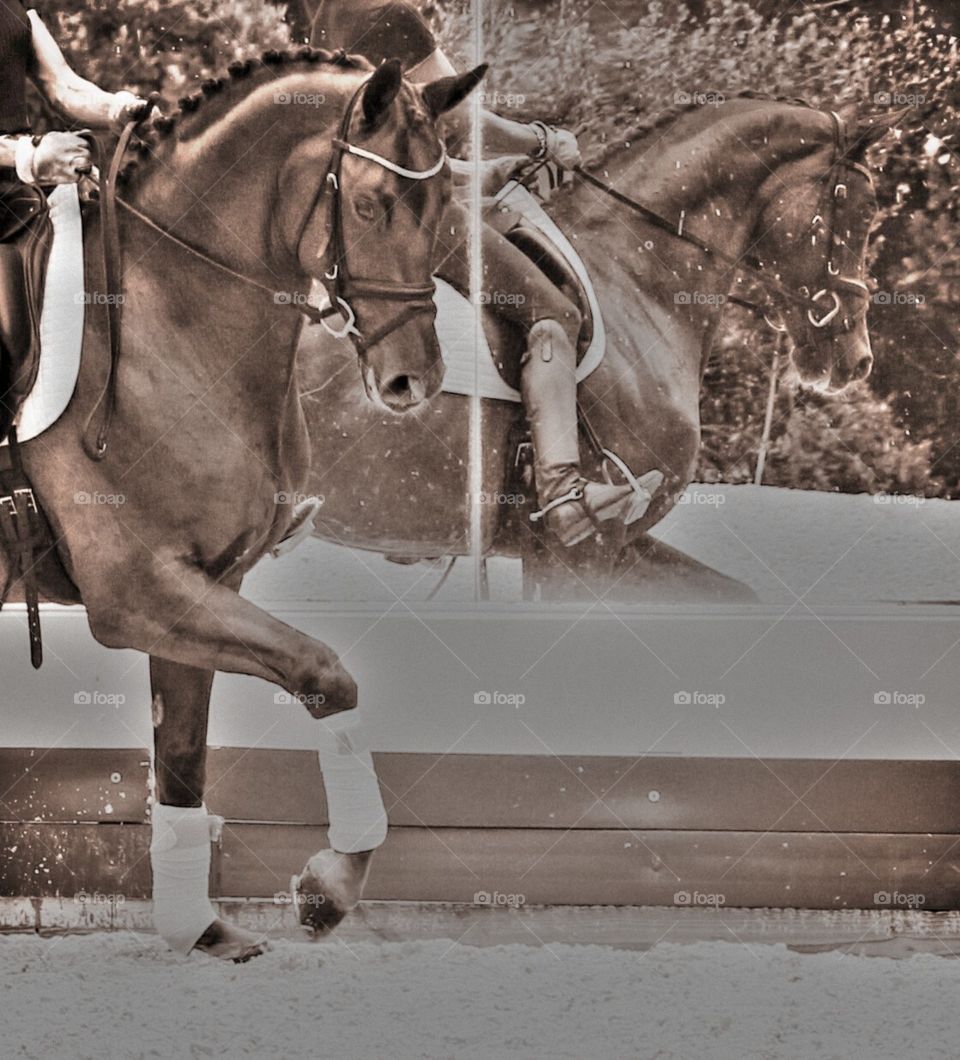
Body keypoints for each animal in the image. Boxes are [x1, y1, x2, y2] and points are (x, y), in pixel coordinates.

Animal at [1, 48, 485, 960]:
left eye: (442, 205)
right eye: (367, 204)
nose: (414, 380)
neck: (172, 321)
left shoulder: (204, 587)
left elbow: (184, 761)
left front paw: (201, 928)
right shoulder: (141, 593)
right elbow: (327, 675)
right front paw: (329, 887)